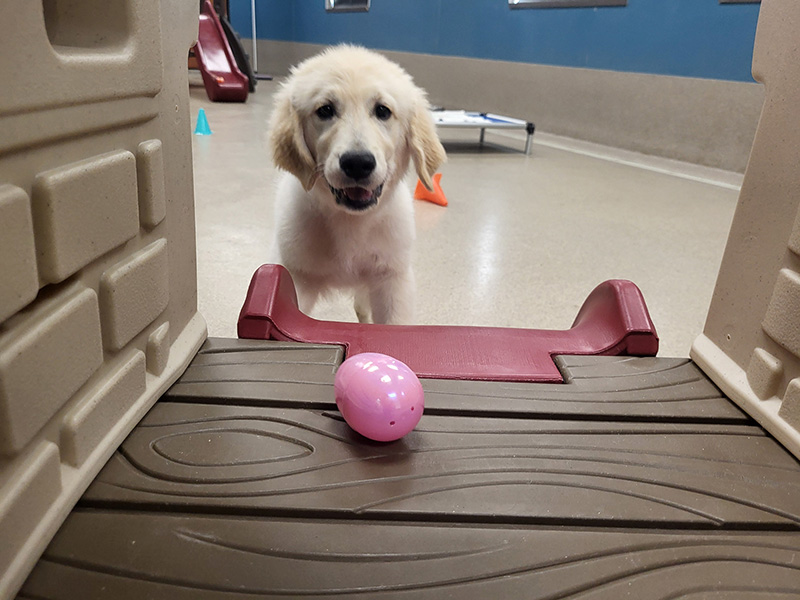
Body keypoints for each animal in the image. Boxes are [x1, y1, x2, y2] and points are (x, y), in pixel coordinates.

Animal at [268, 45, 444, 326]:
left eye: (383, 111)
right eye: (325, 110)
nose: (358, 163)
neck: (351, 222)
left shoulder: (392, 280)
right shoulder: (296, 276)